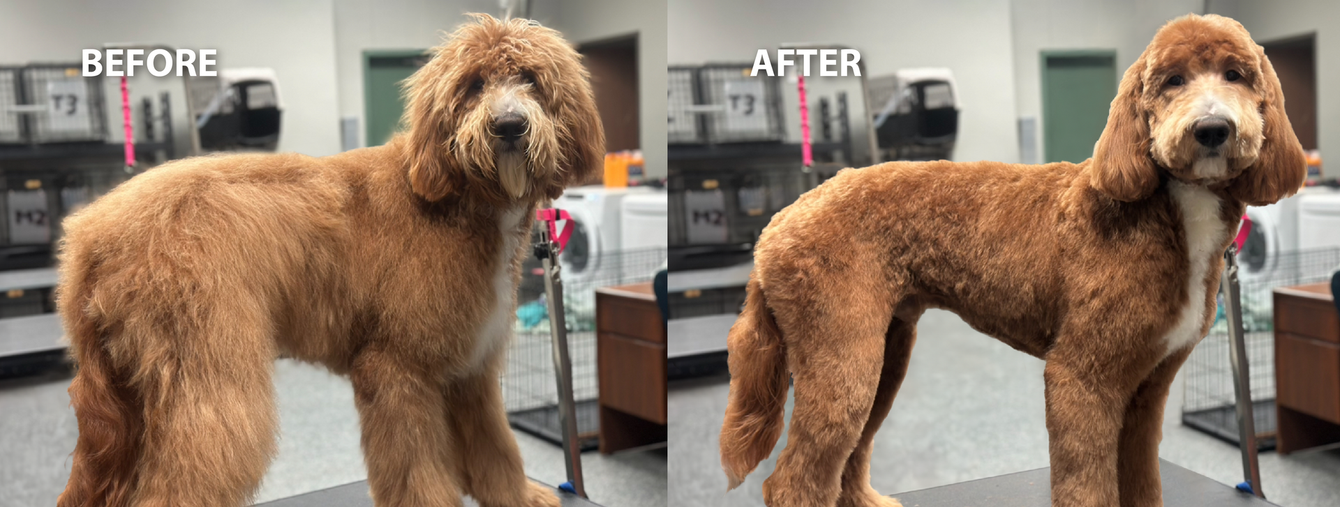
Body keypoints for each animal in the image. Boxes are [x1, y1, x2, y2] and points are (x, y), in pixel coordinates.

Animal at [56, 13, 603, 504]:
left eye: (531, 79)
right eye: (473, 84)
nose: (508, 125)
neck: (457, 196)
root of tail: (91, 232)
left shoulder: (473, 370)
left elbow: (496, 448)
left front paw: (521, 496)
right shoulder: (396, 370)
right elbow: (416, 469)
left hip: (122, 402)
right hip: (208, 385)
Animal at [728, 12, 1302, 507]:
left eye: (1236, 74)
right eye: (1173, 80)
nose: (1212, 128)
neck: (1169, 209)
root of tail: (777, 224)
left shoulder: (1149, 386)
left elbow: (1142, 481)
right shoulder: (1081, 376)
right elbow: (1086, 485)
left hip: (884, 350)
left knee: (851, 453)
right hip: (841, 355)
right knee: (793, 480)